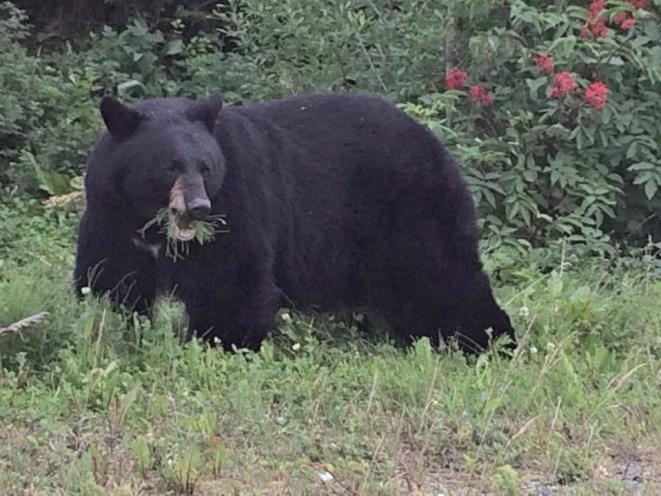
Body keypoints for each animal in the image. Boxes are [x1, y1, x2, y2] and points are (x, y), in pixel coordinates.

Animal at [74, 91, 515, 353]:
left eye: (206, 166)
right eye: (170, 167)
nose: (199, 206)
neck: (150, 223)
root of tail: (437, 146)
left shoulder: (238, 203)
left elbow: (231, 282)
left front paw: (221, 341)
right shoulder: (110, 216)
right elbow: (110, 279)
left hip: (412, 213)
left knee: (443, 278)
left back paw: (488, 340)